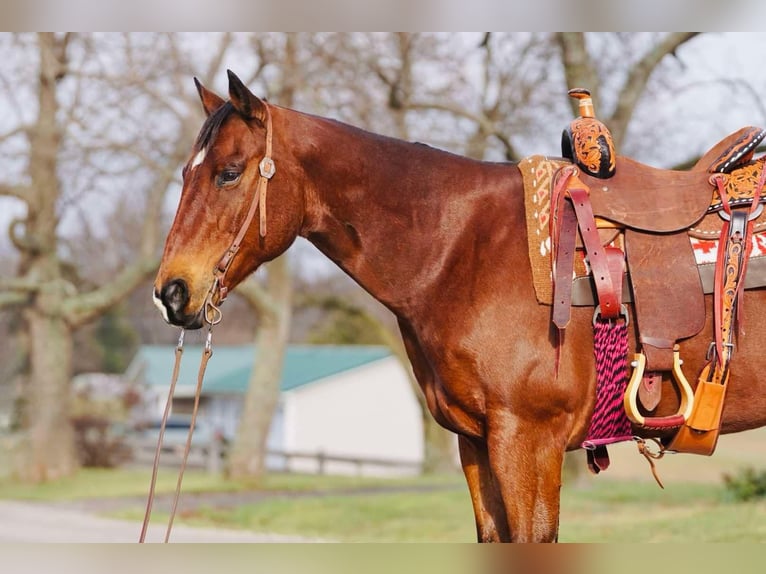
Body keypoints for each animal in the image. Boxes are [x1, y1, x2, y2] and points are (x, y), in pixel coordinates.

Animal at [153, 72, 766, 544]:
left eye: (228, 172)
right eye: (184, 173)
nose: (171, 292)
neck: (464, 248)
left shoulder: (528, 442)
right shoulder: (476, 444)